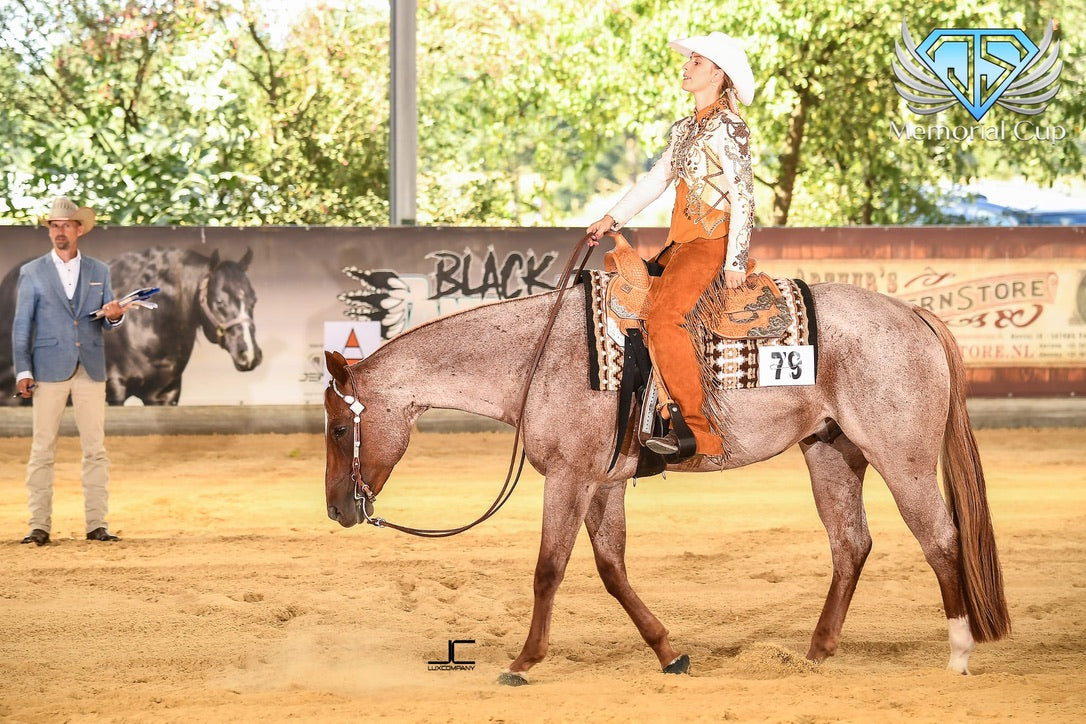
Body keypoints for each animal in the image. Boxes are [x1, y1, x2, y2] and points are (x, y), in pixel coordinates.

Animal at [322, 276, 1010, 684]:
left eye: (335, 428)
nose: (336, 510)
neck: (536, 358)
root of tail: (914, 315)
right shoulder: (600, 481)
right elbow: (610, 567)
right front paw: (667, 651)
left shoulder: (568, 477)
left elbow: (549, 568)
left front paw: (522, 661)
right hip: (831, 452)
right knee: (851, 544)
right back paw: (815, 651)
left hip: (902, 457)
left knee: (940, 539)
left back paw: (958, 653)